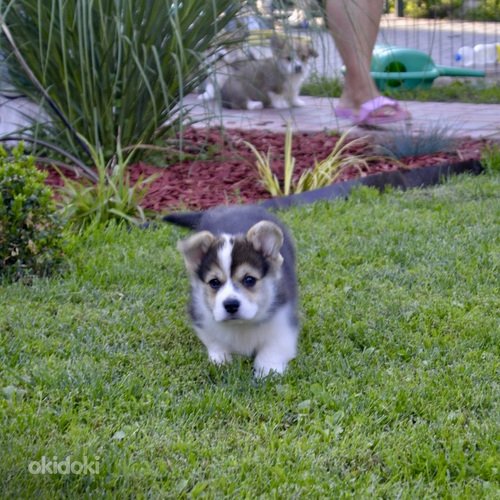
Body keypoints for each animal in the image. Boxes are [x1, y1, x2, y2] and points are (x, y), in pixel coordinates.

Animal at [164, 205, 298, 376]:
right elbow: (215, 342)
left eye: (249, 280)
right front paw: (221, 361)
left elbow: (272, 350)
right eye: (214, 282)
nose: (231, 305)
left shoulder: (284, 323)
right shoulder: (202, 318)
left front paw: (267, 372)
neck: (240, 325)